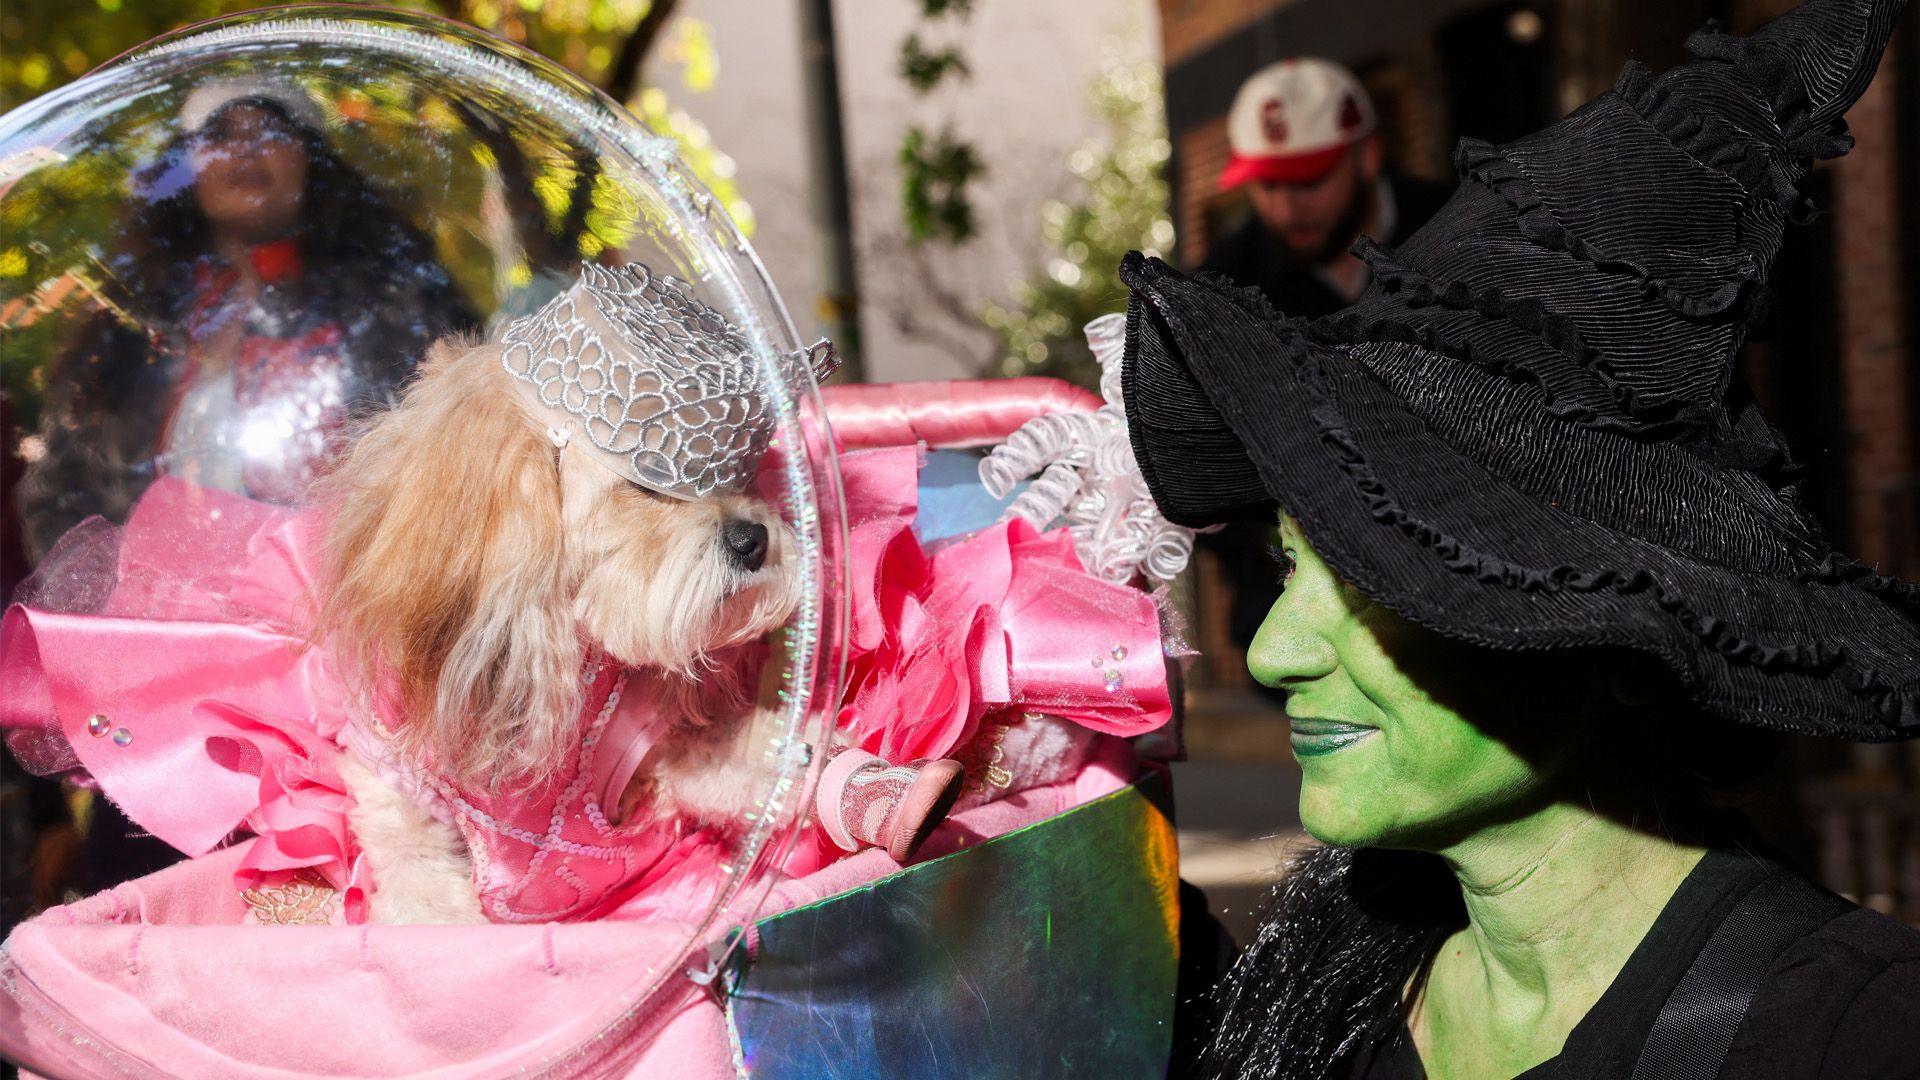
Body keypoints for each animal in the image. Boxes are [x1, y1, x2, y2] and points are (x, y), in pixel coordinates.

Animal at [314, 265, 825, 922]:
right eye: (647, 482)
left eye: (743, 475)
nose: (755, 539)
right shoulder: (395, 784)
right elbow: (422, 885)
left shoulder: (656, 745)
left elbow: (730, 755)